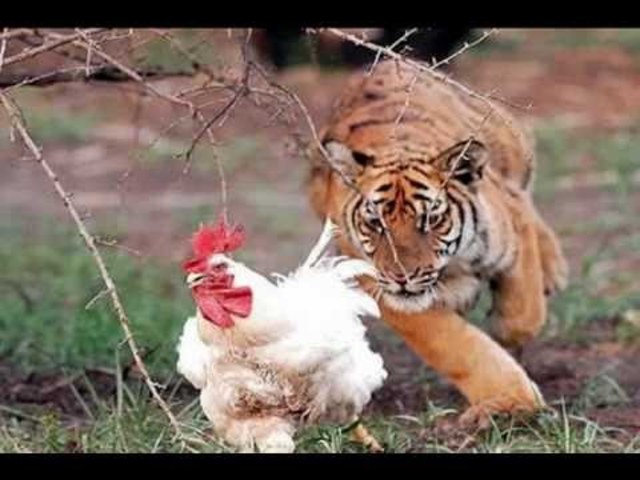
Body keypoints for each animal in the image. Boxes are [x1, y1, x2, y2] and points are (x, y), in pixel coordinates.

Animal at [307, 60, 569, 426]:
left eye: (430, 218)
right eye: (376, 223)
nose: (402, 276)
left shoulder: (511, 226)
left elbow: (523, 313)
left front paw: (507, 332)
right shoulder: (386, 290)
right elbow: (455, 346)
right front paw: (509, 402)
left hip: (511, 144)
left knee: (524, 193)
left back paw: (553, 269)